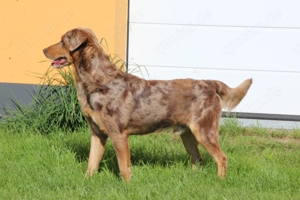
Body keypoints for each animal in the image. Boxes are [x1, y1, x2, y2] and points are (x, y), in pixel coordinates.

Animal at [43, 27, 252, 181]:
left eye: (62, 40)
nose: (43, 49)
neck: (97, 82)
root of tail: (210, 83)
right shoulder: (97, 133)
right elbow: (91, 164)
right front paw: (86, 182)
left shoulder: (119, 134)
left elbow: (124, 167)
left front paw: (127, 187)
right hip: (188, 134)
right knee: (198, 159)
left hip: (204, 130)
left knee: (222, 158)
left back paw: (220, 181)